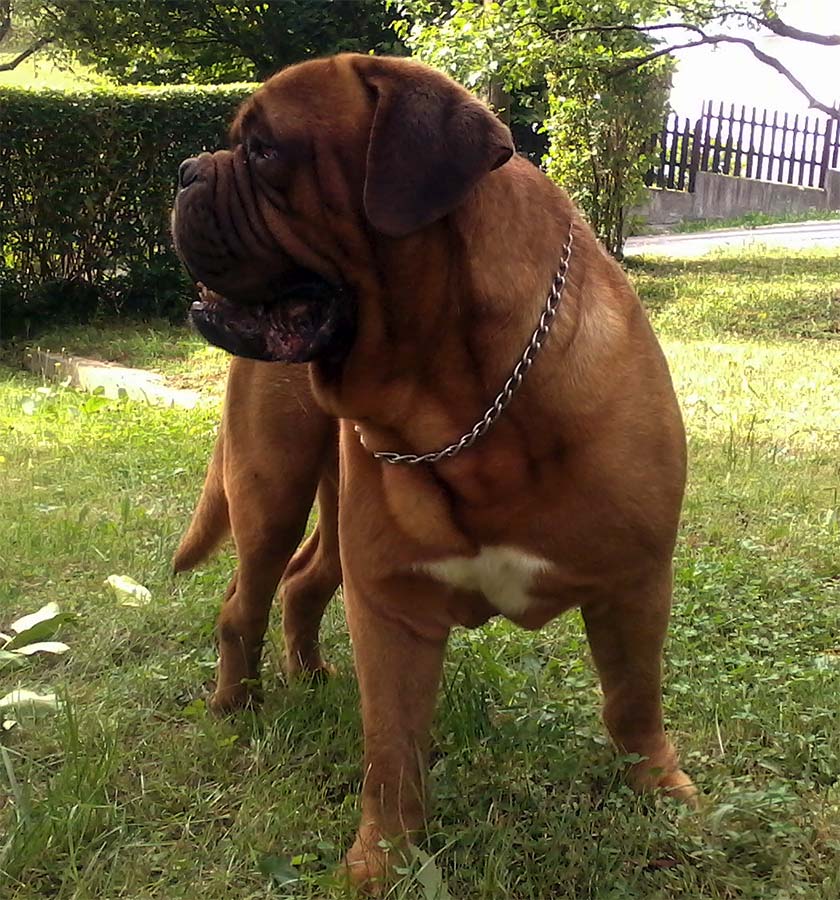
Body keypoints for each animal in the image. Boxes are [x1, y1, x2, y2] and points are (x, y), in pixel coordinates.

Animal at [171, 53, 695, 887]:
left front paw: (660, 788)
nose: (187, 170)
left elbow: (634, 697)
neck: (464, 406)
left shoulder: (636, 580)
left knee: (303, 582)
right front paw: (382, 861)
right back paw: (237, 704)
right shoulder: (393, 602)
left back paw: (309, 677)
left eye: (264, 150)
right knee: (244, 601)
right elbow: (391, 748)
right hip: (272, 489)